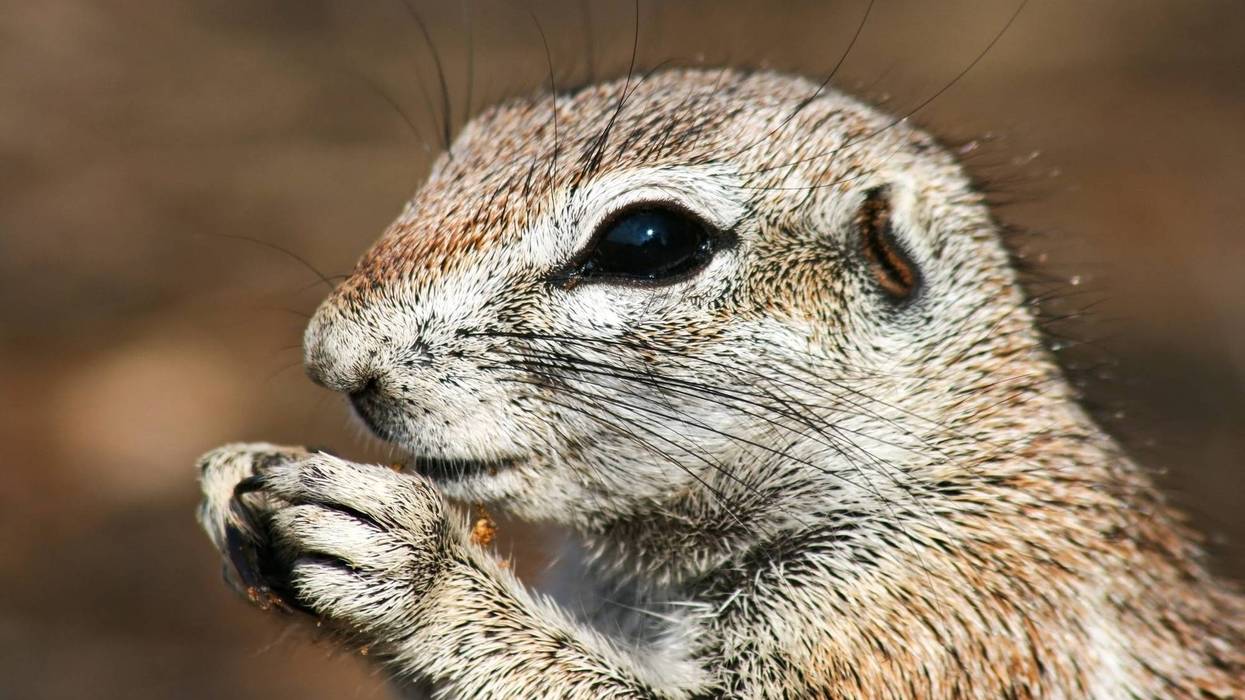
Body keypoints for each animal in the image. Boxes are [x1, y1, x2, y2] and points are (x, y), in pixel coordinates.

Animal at [197, 69, 1245, 698]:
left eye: (647, 241)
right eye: (464, 150)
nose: (330, 359)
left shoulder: (933, 619)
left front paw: (409, 564)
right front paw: (236, 472)